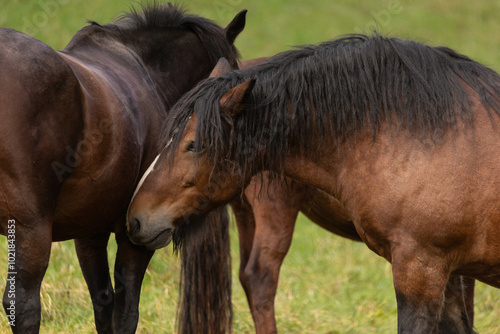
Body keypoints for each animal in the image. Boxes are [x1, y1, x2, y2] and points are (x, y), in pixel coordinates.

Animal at [0, 3, 244, 334]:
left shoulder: (90, 231)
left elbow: (103, 305)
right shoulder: (137, 234)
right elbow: (126, 310)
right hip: (30, 230)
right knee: (24, 306)